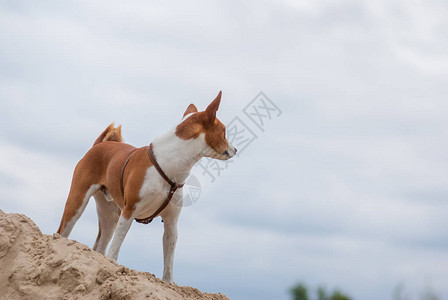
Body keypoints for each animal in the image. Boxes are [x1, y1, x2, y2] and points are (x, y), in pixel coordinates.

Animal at [57, 92, 234, 284]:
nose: (235, 149)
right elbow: (116, 247)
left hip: (110, 215)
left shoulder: (171, 223)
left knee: (99, 246)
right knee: (62, 233)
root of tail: (99, 145)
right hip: (77, 203)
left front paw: (169, 282)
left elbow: (169, 261)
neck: (169, 164)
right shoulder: (129, 212)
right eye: (224, 131)